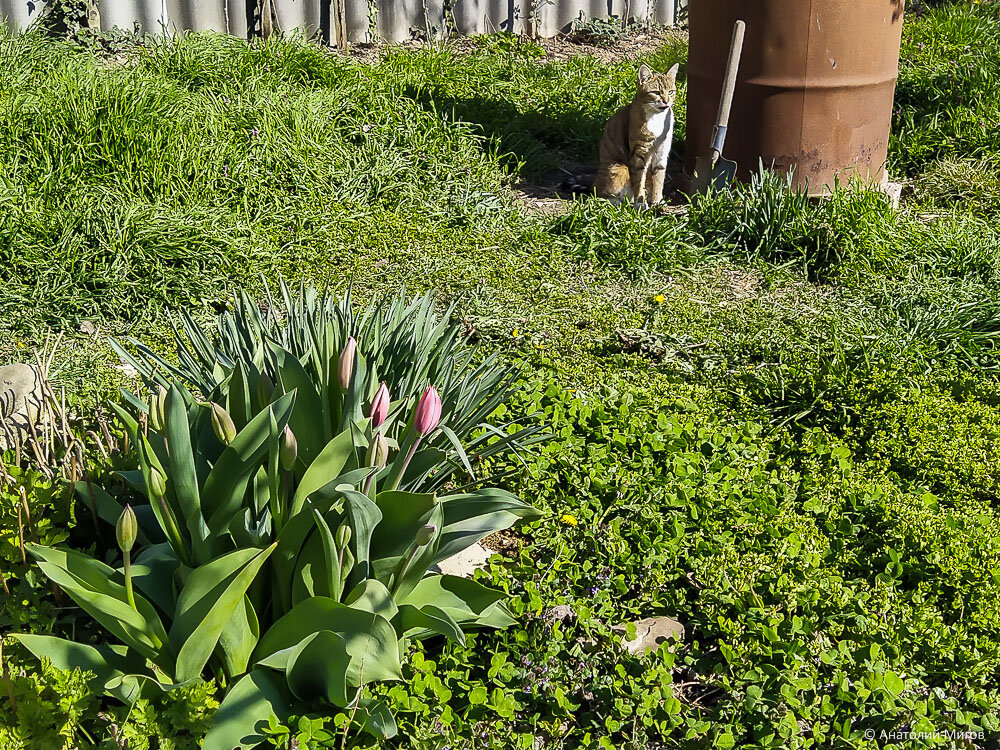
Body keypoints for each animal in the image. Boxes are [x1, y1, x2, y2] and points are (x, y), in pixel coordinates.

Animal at [592, 63, 680, 206]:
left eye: (671, 92)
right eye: (656, 92)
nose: (666, 101)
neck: (657, 118)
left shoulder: (662, 152)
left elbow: (659, 179)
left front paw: (657, 202)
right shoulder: (639, 153)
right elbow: (639, 181)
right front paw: (640, 203)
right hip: (618, 169)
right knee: (598, 192)